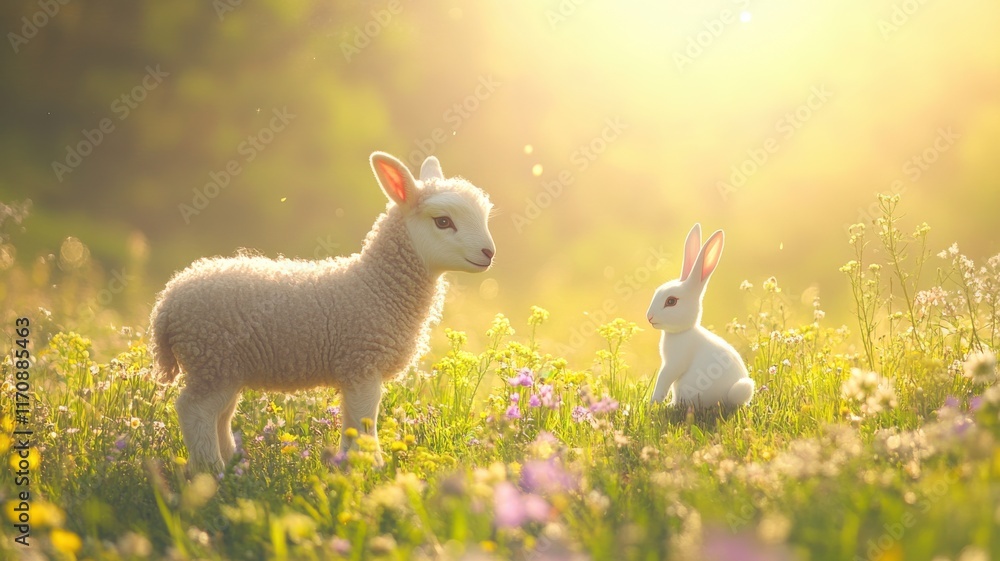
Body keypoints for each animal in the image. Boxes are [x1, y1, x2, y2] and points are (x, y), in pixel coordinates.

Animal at [149, 152, 496, 471]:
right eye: (443, 221)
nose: (489, 253)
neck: (376, 287)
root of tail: (167, 303)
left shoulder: (354, 367)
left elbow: (353, 423)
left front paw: (349, 465)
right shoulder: (362, 362)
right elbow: (364, 420)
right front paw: (372, 468)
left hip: (223, 367)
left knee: (220, 415)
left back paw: (236, 466)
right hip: (210, 357)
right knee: (195, 411)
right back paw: (213, 471)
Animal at [646, 223, 755, 408]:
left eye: (671, 301)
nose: (649, 317)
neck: (682, 332)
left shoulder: (674, 363)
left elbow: (664, 380)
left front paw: (654, 402)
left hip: (742, 388)